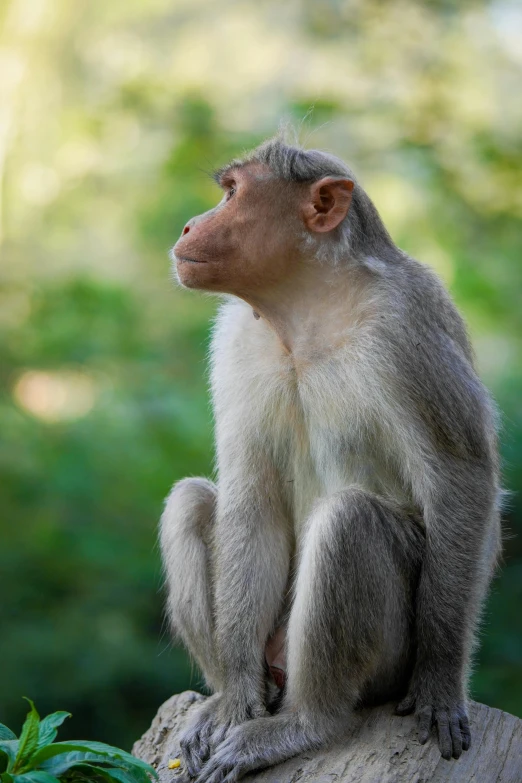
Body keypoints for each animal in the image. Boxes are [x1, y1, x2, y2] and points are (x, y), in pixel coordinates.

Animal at [159, 135, 500, 783]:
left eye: (232, 194)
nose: (189, 223)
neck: (305, 308)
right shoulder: (235, 337)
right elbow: (251, 491)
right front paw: (236, 700)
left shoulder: (406, 326)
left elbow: (461, 480)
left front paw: (441, 683)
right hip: (273, 649)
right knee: (190, 501)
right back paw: (230, 698)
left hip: (388, 663)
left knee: (351, 521)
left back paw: (309, 723)